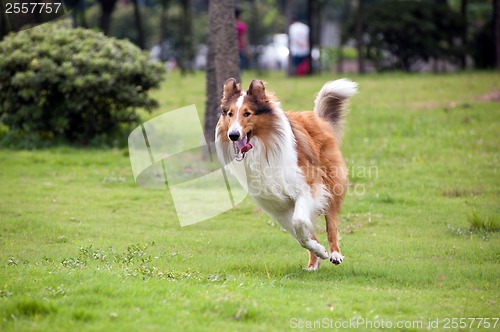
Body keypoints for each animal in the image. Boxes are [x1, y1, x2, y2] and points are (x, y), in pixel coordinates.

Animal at [215, 78, 356, 270]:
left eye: (247, 113)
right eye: (229, 114)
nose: (233, 135)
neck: (261, 149)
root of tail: (317, 118)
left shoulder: (308, 188)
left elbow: (300, 223)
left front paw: (324, 251)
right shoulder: (277, 207)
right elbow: (301, 235)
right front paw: (319, 251)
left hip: (331, 183)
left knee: (331, 222)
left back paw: (335, 254)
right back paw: (313, 265)